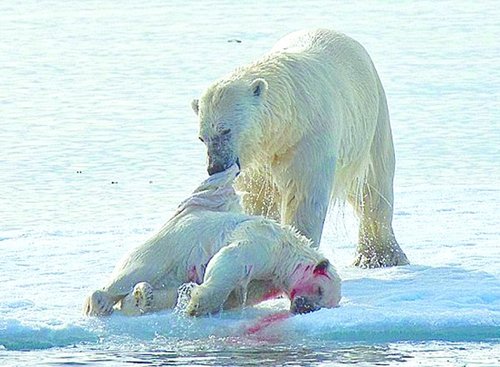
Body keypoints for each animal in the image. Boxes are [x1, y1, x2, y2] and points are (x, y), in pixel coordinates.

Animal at [84, 165, 340, 318]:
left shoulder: (268, 282)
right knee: (139, 268)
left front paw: (189, 298)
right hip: (171, 242)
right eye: (319, 289)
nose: (303, 308)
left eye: (324, 303)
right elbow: (231, 259)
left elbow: (237, 296)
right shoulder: (265, 242)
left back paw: (142, 297)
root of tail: (184, 213)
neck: (289, 251)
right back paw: (101, 303)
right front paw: (196, 306)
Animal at [193, 28, 408, 268]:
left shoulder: (308, 137)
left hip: (372, 121)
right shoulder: (258, 160)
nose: (215, 167)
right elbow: (258, 196)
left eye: (226, 130)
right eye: (202, 138)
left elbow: (304, 196)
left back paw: (380, 256)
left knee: (373, 186)